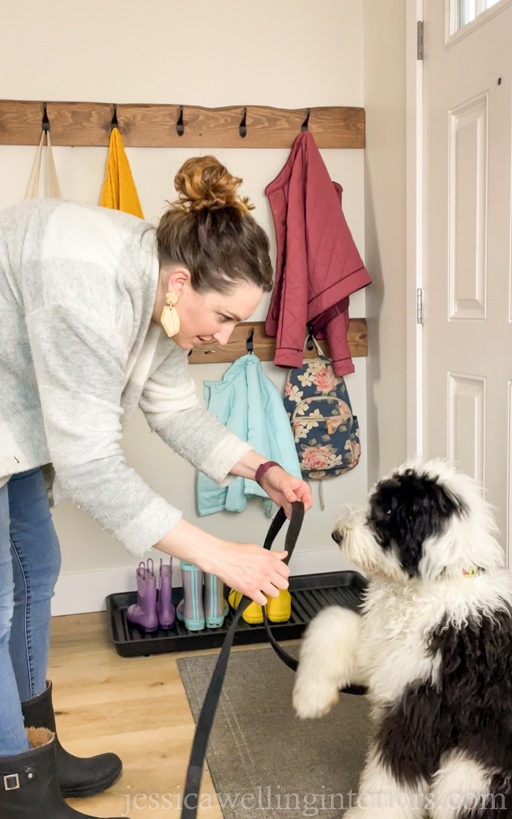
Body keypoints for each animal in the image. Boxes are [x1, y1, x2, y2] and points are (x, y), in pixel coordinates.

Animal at [294, 458, 512, 816]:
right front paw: (311, 697)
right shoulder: (383, 654)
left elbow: (391, 780)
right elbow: (333, 623)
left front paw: (367, 815)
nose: (336, 535)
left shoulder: (420, 710)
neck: (435, 583)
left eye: (386, 509)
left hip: (468, 775)